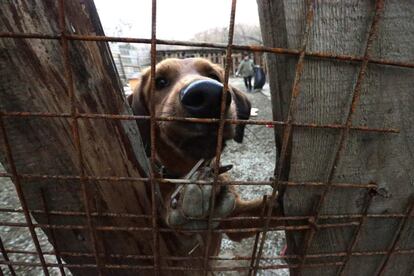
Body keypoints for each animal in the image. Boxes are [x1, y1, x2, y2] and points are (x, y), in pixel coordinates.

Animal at [128, 57, 280, 260]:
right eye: (160, 81)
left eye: (214, 76)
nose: (208, 94)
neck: (188, 168)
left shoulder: (235, 221)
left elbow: (269, 209)